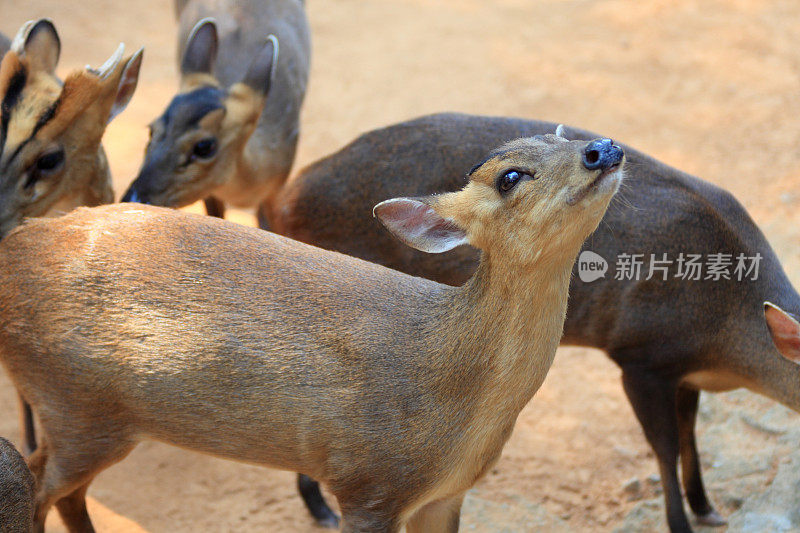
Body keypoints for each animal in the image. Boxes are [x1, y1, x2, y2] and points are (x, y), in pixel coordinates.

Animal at [0, 134, 620, 532]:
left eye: (562, 132)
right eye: (510, 175)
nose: (604, 149)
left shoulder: (446, 494)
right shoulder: (368, 483)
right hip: (75, 403)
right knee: (39, 480)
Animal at [274, 112, 800, 532]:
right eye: (509, 176)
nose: (603, 148)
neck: (727, 331)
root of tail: (284, 198)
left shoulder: (684, 370)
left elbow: (691, 435)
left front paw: (707, 507)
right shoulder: (641, 354)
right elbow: (666, 448)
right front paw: (683, 523)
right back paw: (321, 508)